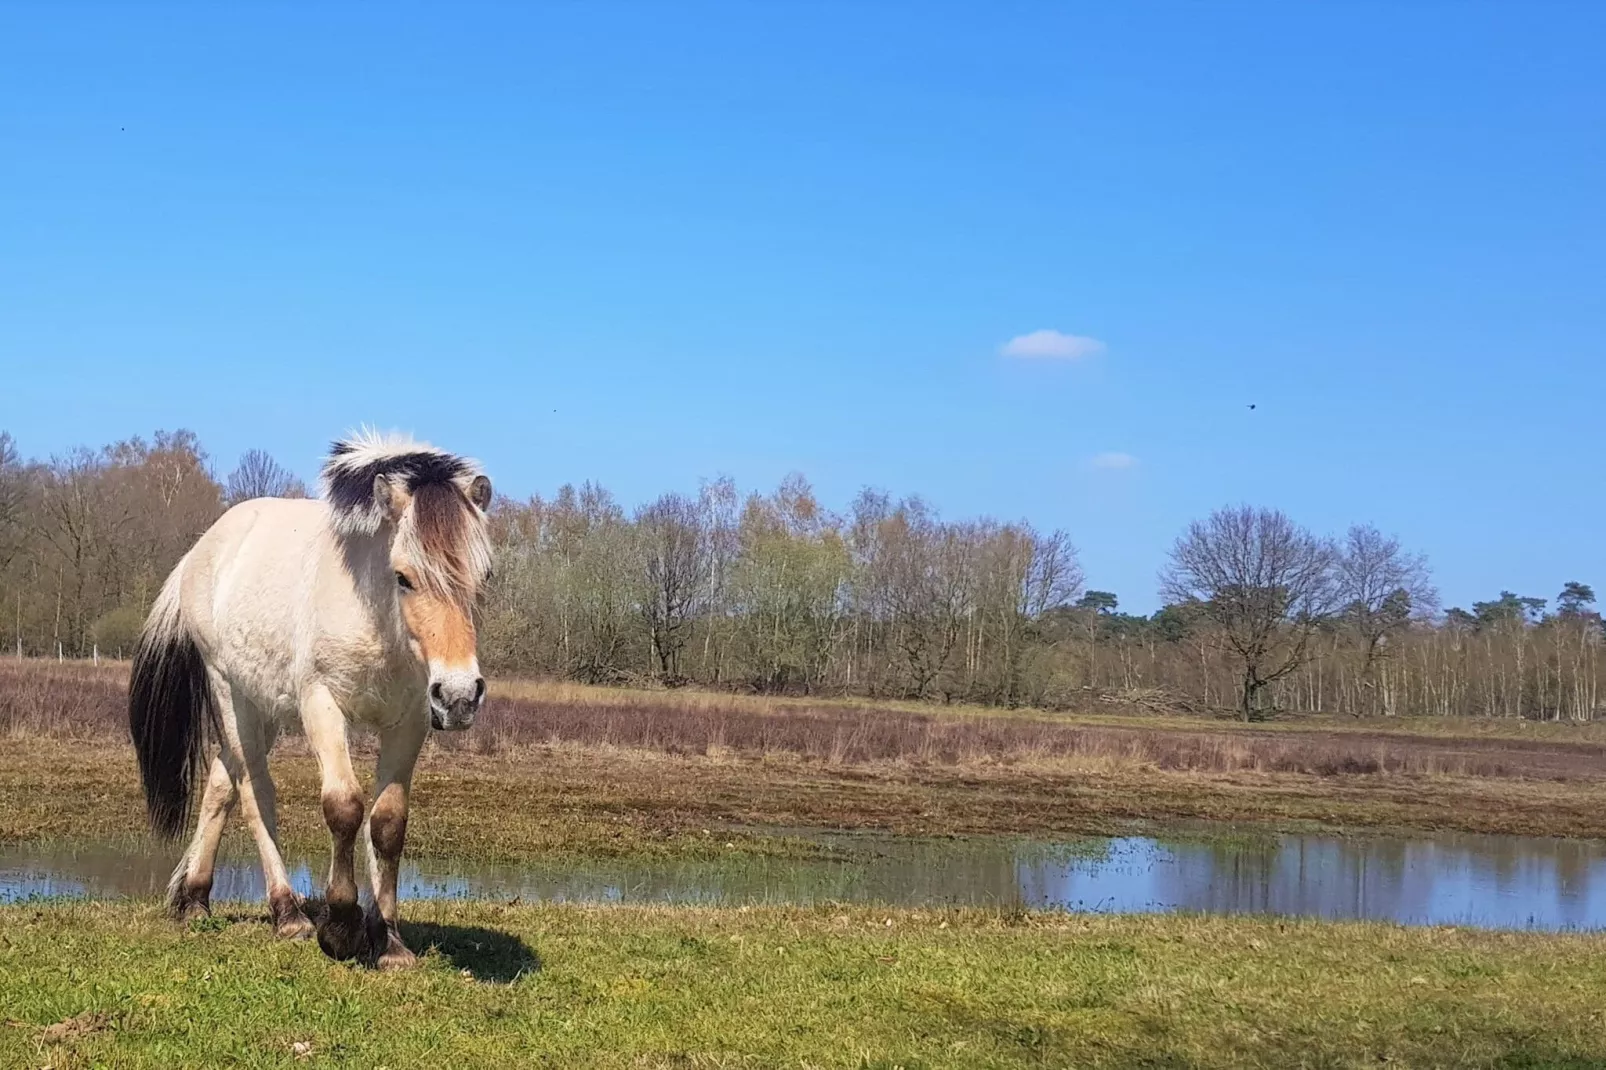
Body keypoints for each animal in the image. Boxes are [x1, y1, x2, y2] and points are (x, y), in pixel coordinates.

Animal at [126, 427, 488, 963]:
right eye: (403, 576)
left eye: (484, 580)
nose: (461, 694)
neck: (374, 615)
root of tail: (203, 549)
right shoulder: (322, 705)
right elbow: (344, 806)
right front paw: (340, 927)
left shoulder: (410, 721)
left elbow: (387, 822)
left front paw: (389, 940)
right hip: (231, 695)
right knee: (255, 792)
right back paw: (287, 913)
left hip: (263, 708)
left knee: (221, 783)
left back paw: (194, 900)